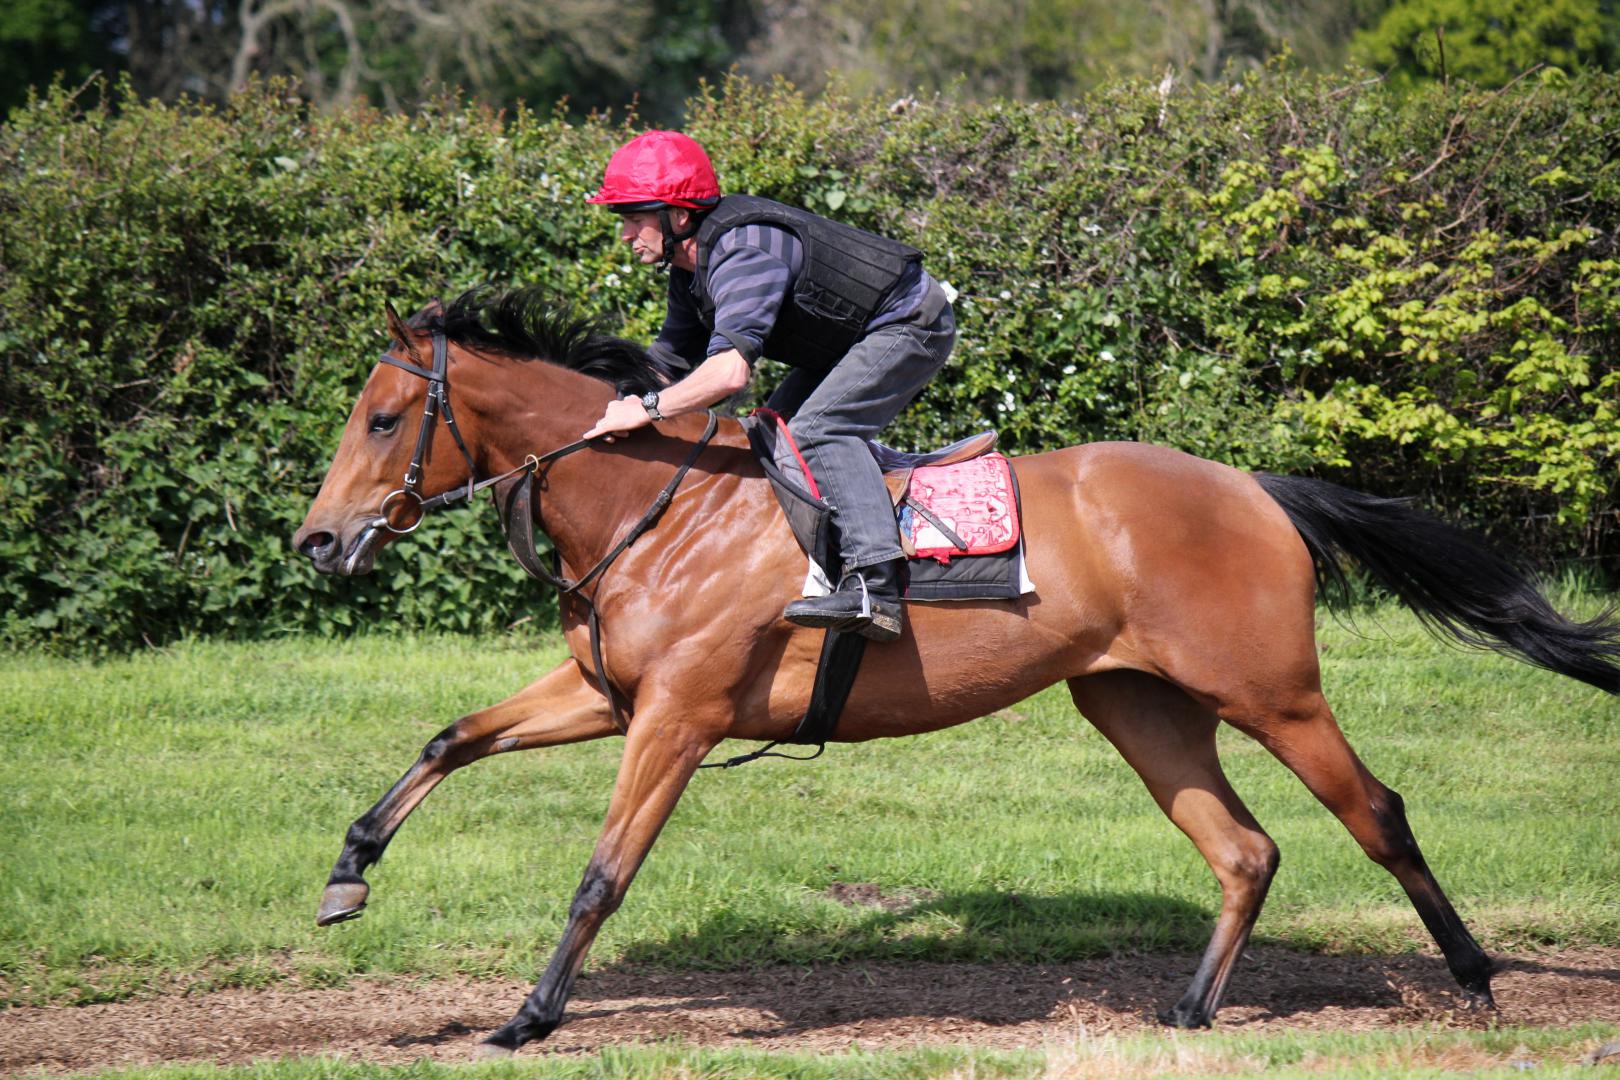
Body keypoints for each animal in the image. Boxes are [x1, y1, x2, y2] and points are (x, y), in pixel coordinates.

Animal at [292, 285, 1620, 1055]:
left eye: (378, 421)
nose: (317, 540)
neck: (657, 503)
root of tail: (1253, 487)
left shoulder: (675, 716)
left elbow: (600, 876)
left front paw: (528, 1015)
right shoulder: (612, 697)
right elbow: (452, 737)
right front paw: (348, 871)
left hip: (1272, 693)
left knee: (1377, 813)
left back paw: (1475, 981)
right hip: (1137, 704)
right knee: (1246, 850)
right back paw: (1190, 1010)